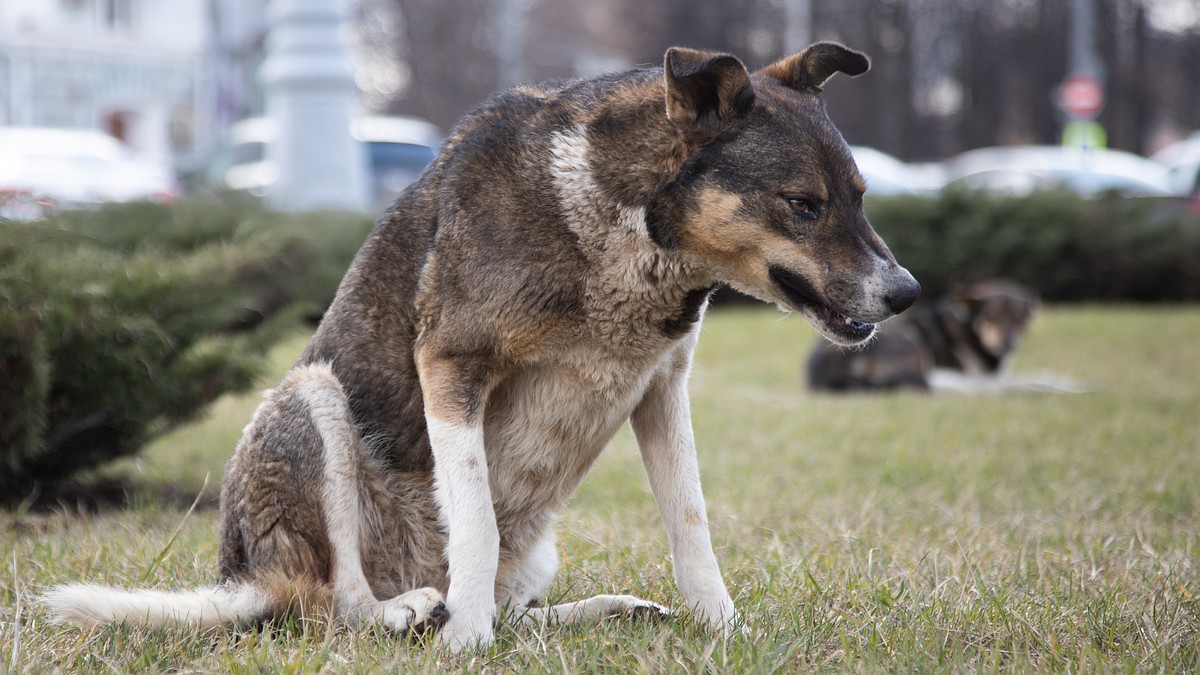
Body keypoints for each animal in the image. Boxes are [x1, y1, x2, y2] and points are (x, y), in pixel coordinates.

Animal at [44, 42, 916, 648]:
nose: (906, 292)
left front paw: (723, 627)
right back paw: (412, 611)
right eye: (803, 205)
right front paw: (464, 639)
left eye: (861, 196)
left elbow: (692, 524)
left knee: (518, 609)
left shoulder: (662, 390)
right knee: (338, 603)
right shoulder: (452, 366)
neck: (618, 224)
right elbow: (474, 517)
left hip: (539, 550)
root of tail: (247, 580)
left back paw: (604, 610)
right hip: (310, 399)